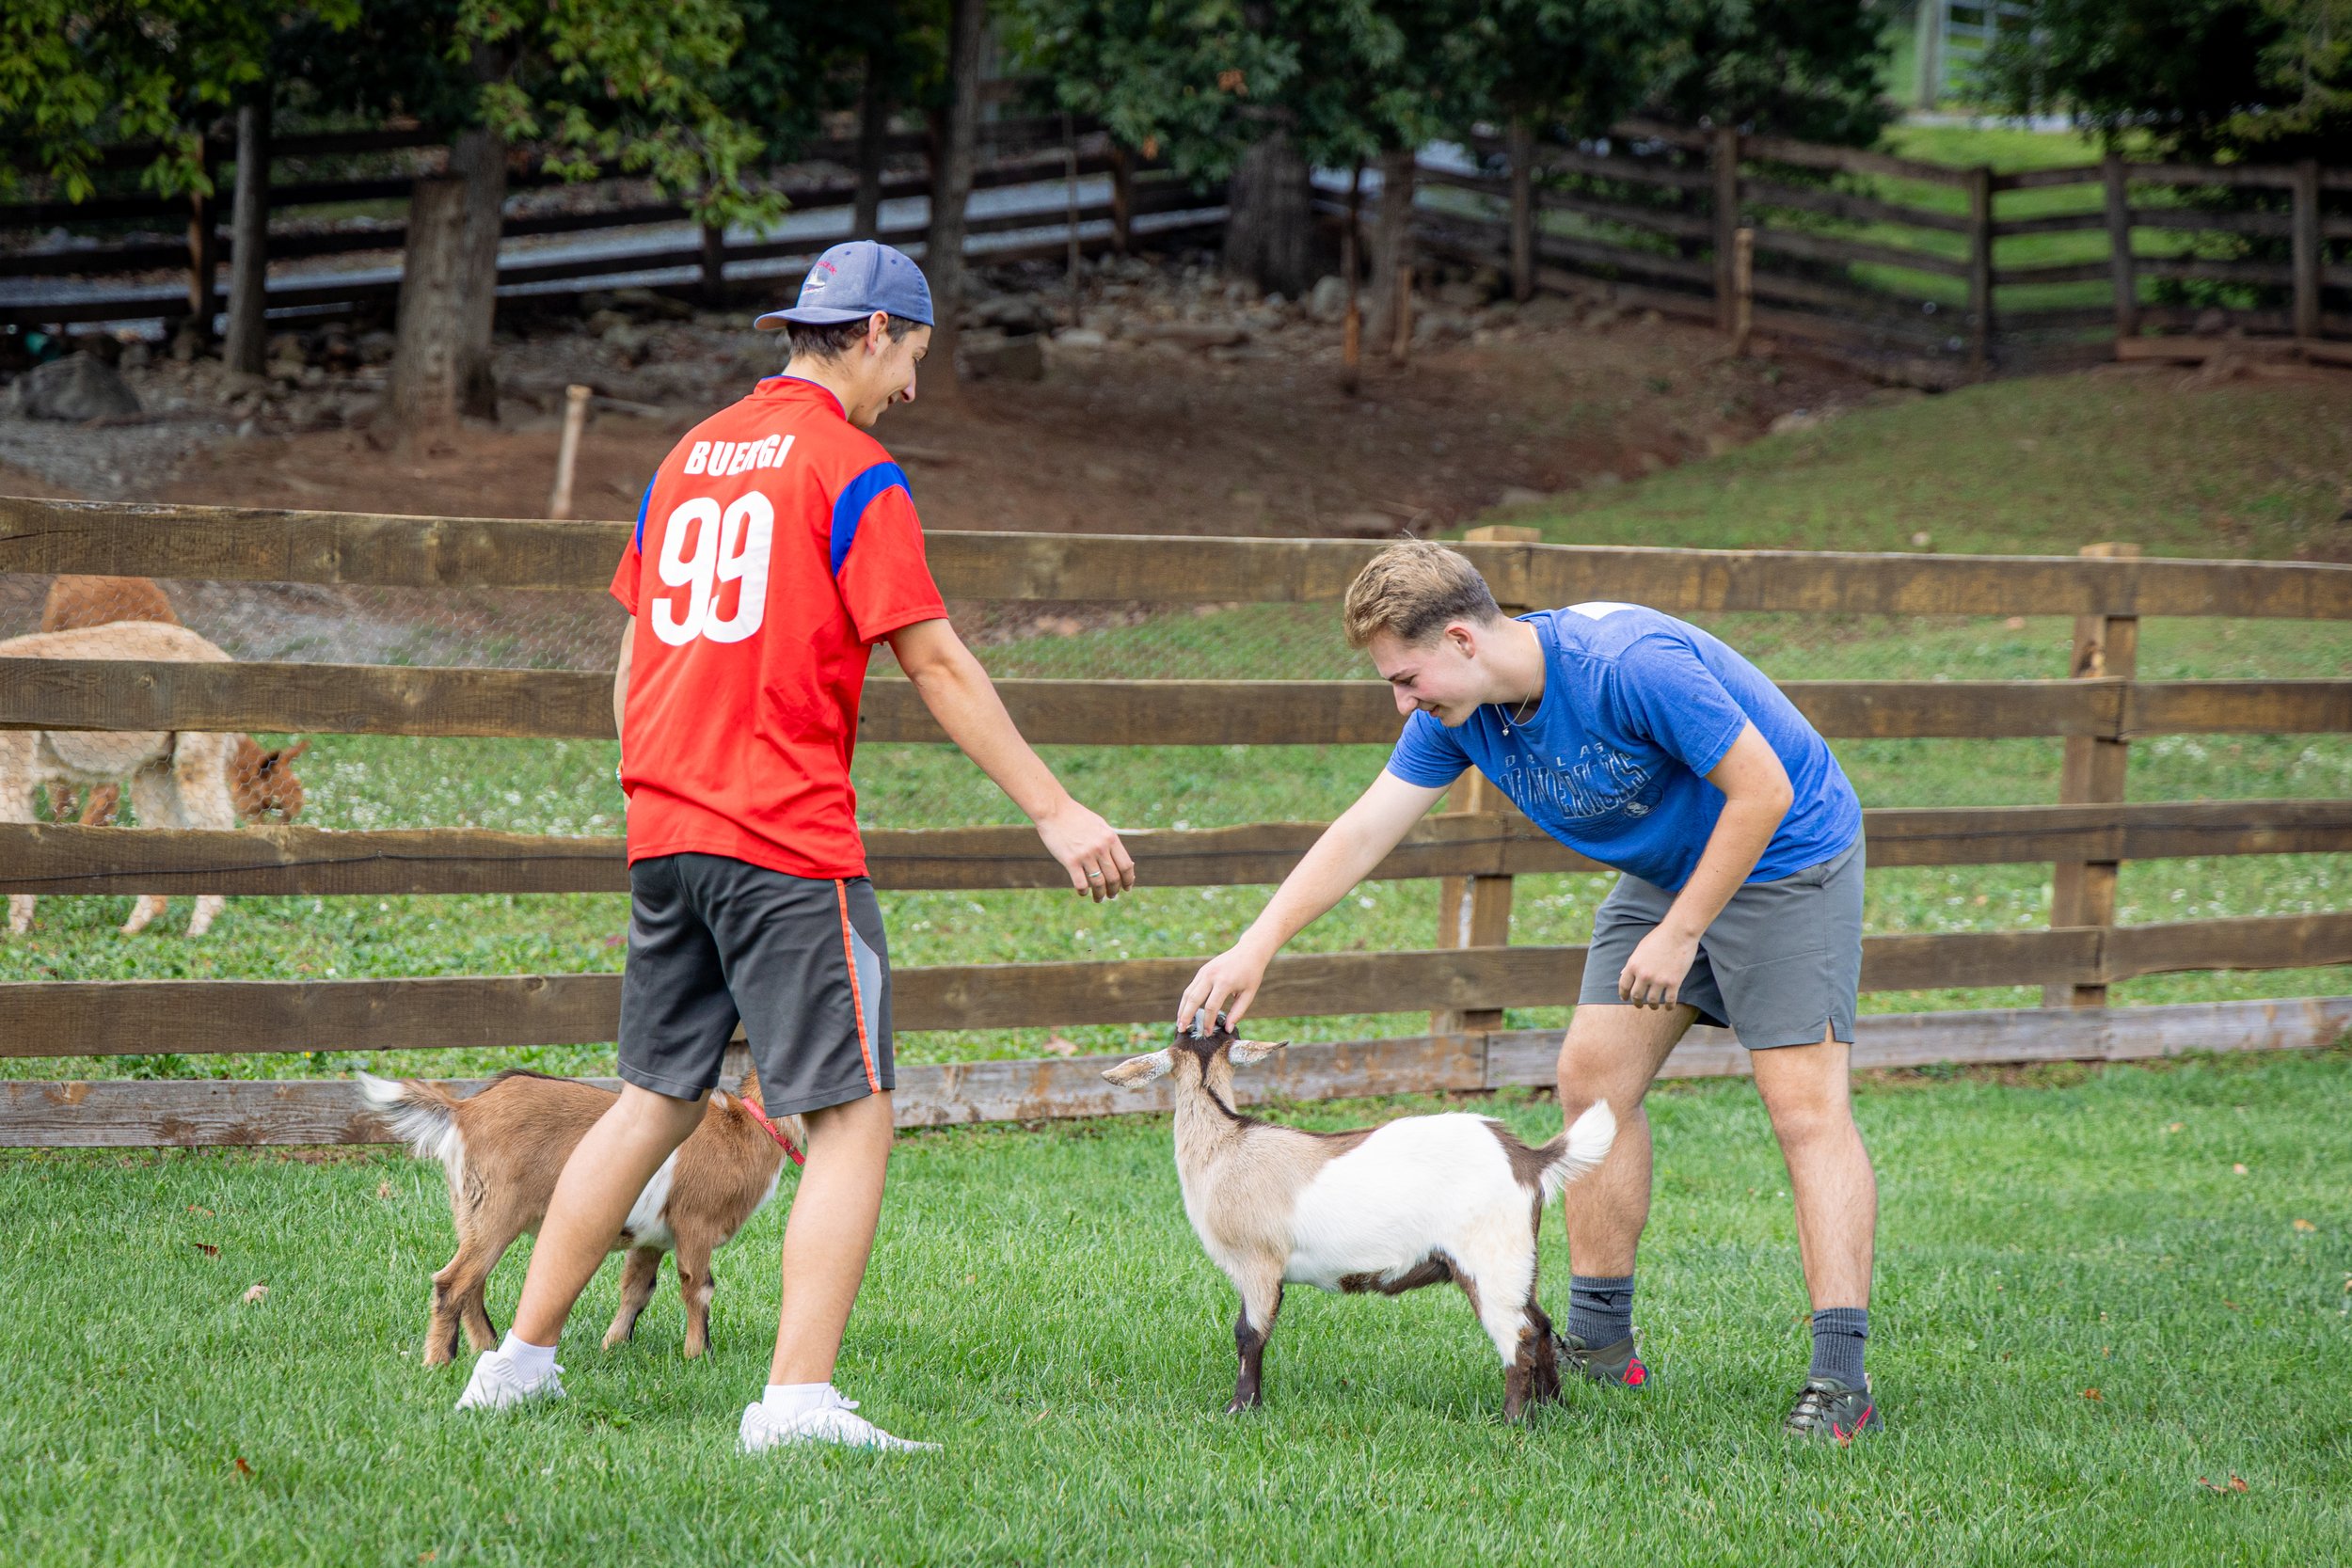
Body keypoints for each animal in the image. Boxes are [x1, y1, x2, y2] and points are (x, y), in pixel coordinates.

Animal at [0, 621, 308, 937]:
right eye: (271, 804)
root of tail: (220, 654)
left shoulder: (11, 769)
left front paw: (17, 928)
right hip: (155, 765)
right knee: (164, 828)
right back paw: (135, 927)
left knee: (215, 822)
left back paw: (196, 927)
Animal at [359, 1065, 808, 1366]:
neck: (746, 1130)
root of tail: (463, 1111)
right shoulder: (694, 1225)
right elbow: (698, 1288)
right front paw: (699, 1357)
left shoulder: (651, 1239)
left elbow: (637, 1290)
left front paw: (614, 1346)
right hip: (496, 1212)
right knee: (452, 1282)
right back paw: (439, 1361)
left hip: (470, 1211)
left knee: (473, 1283)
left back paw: (486, 1348)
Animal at [1103, 1021, 1616, 1421]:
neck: (1225, 1143)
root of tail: (1527, 1160)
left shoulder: (1258, 1263)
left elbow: (1249, 1335)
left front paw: (1240, 1409)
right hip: (1517, 1260)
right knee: (1541, 1324)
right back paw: (1556, 1409)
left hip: (1488, 1258)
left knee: (1519, 1335)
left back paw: (1511, 1422)